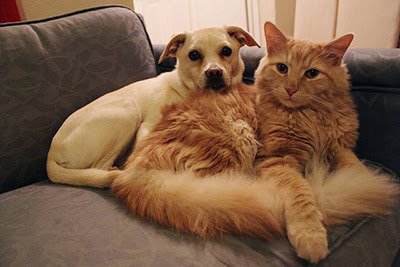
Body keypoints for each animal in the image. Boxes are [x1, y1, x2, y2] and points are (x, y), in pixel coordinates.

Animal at [46, 25, 260, 188]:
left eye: (226, 51)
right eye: (194, 55)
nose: (214, 72)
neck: (187, 91)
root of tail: (51, 153)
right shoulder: (147, 128)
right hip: (127, 111)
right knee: (101, 166)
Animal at [255, 21, 398, 264]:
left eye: (312, 73)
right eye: (282, 68)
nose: (291, 89)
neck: (309, 116)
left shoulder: (341, 149)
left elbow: (357, 172)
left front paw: (369, 189)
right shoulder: (278, 160)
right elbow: (300, 194)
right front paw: (310, 236)